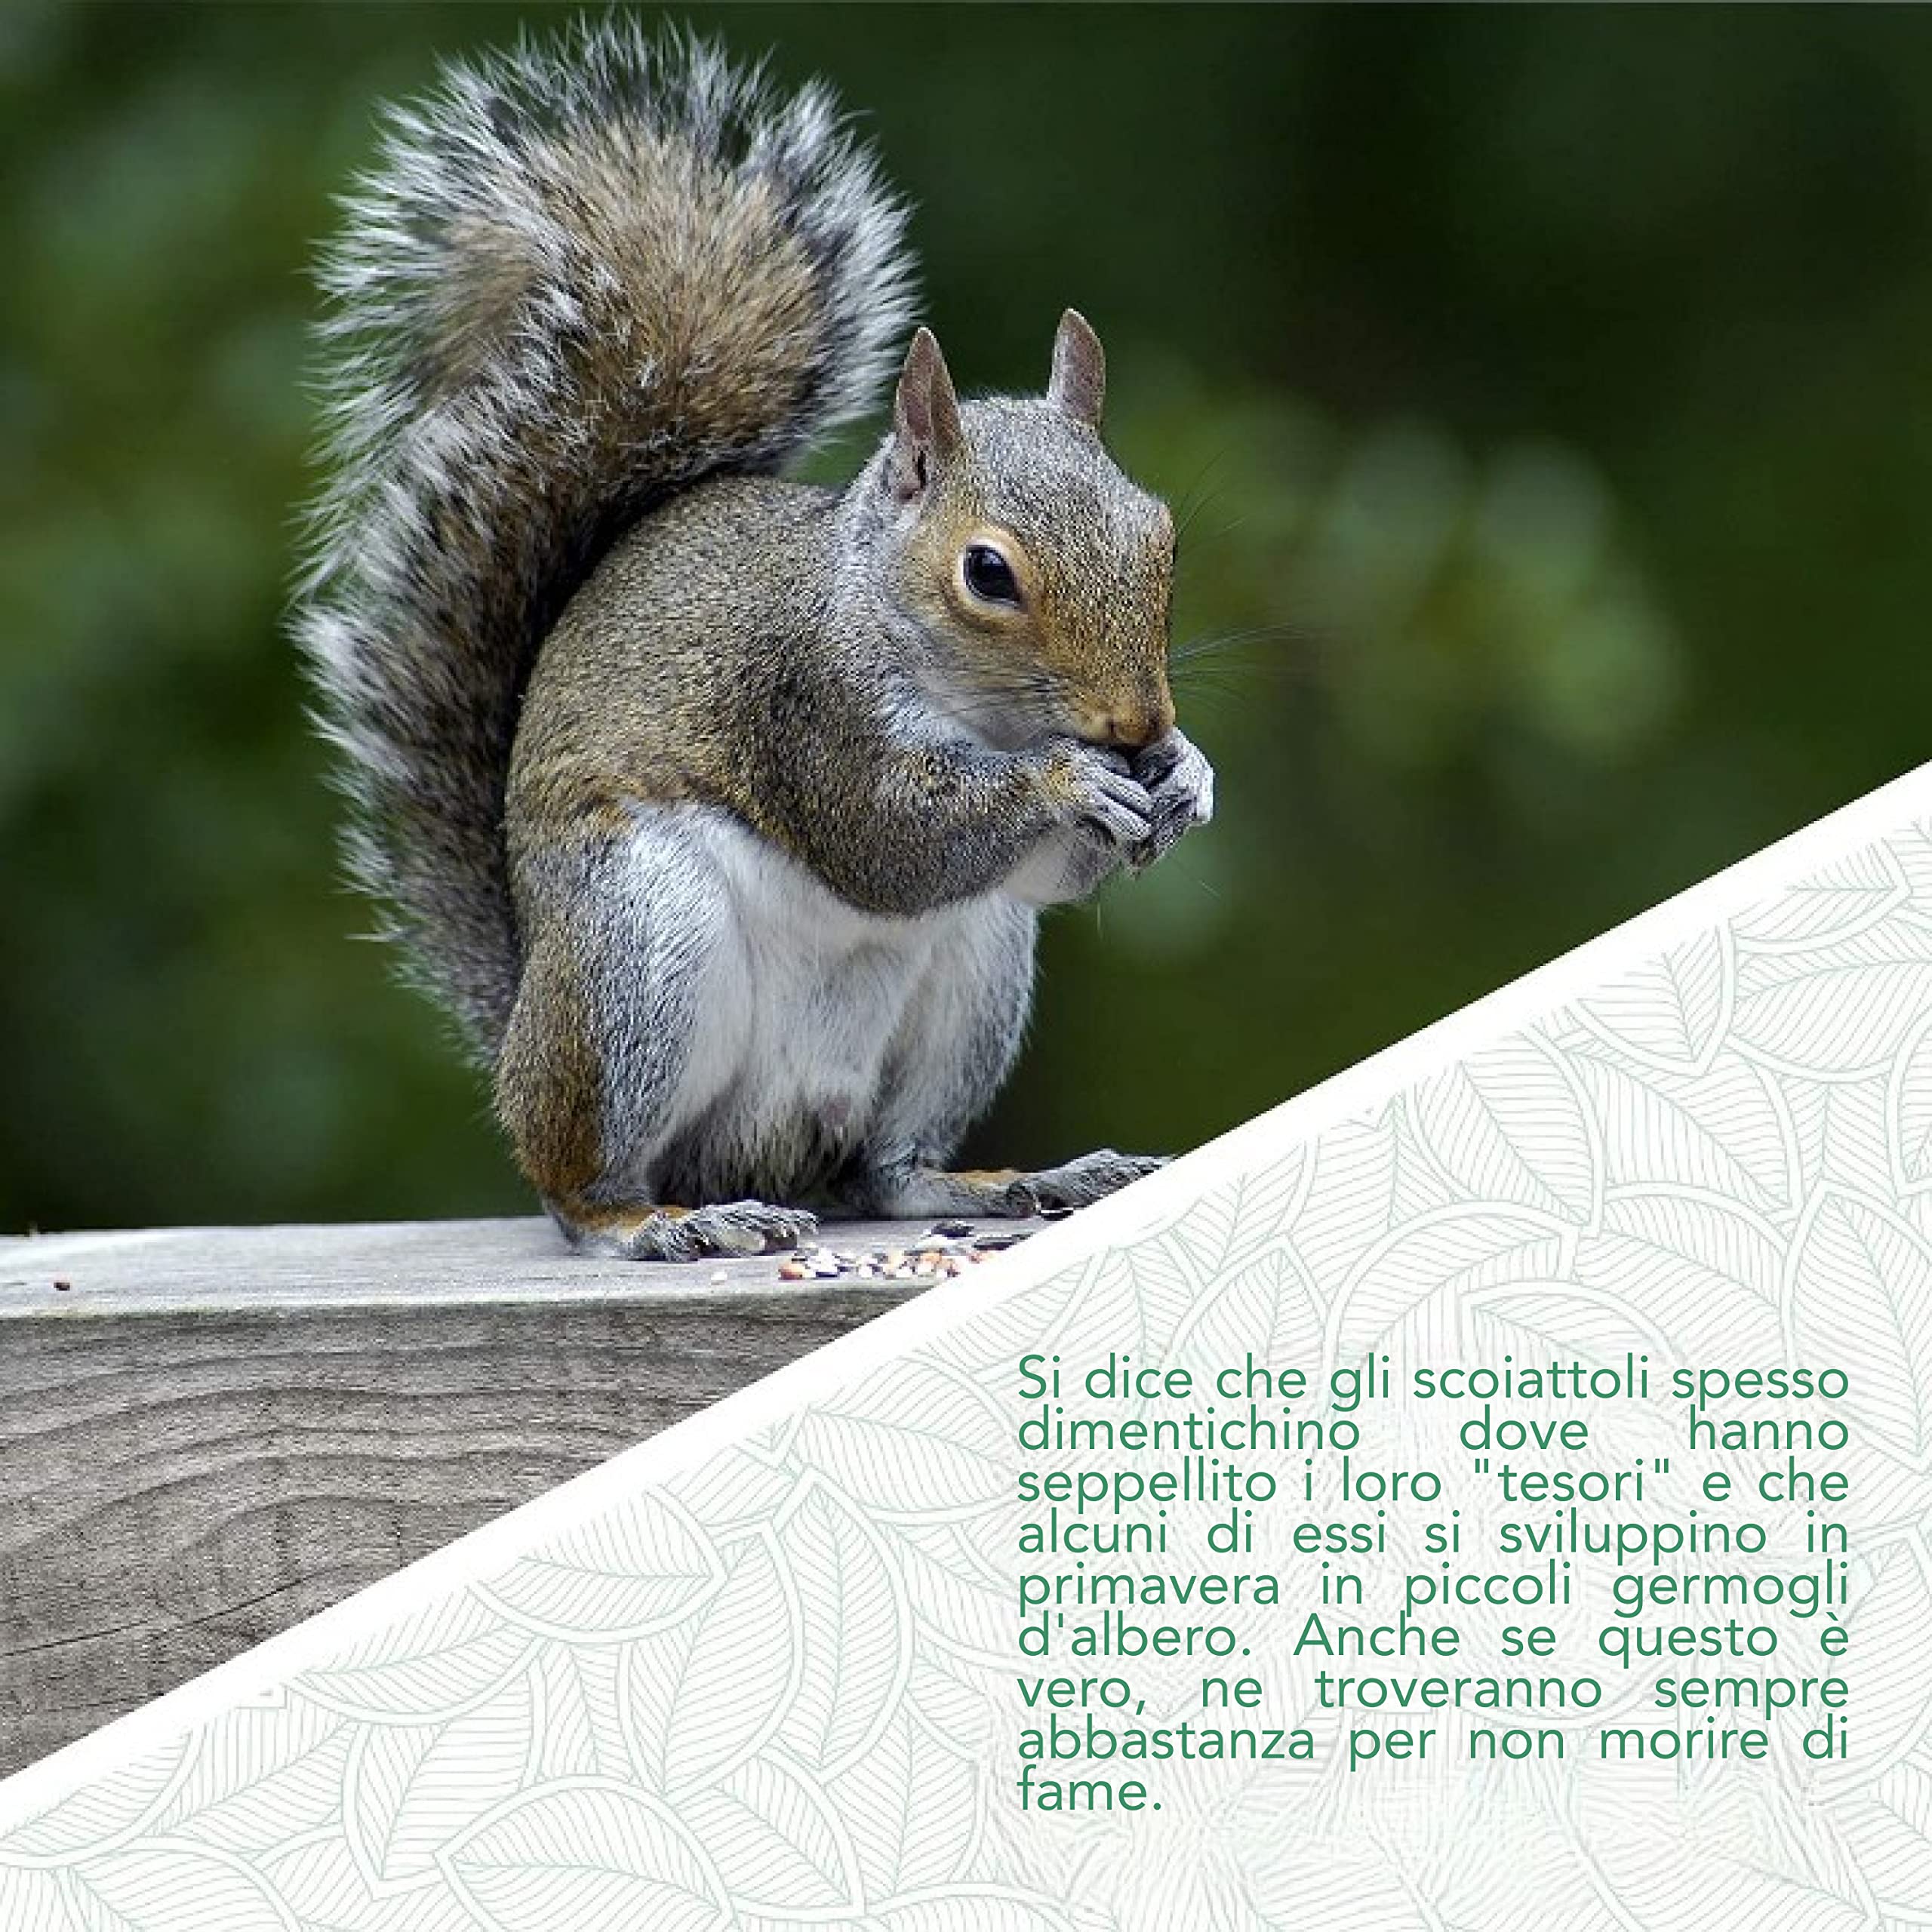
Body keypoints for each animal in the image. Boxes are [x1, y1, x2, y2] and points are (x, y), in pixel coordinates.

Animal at [297, 23, 1215, 1262]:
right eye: (987, 573)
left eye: (1159, 531)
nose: (1140, 723)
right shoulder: (804, 702)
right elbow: (887, 839)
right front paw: (1070, 781)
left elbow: (1039, 872)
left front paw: (1185, 776)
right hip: (635, 951)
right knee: (578, 1181)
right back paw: (653, 1224)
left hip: (973, 974)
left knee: (883, 1169)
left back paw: (997, 1182)